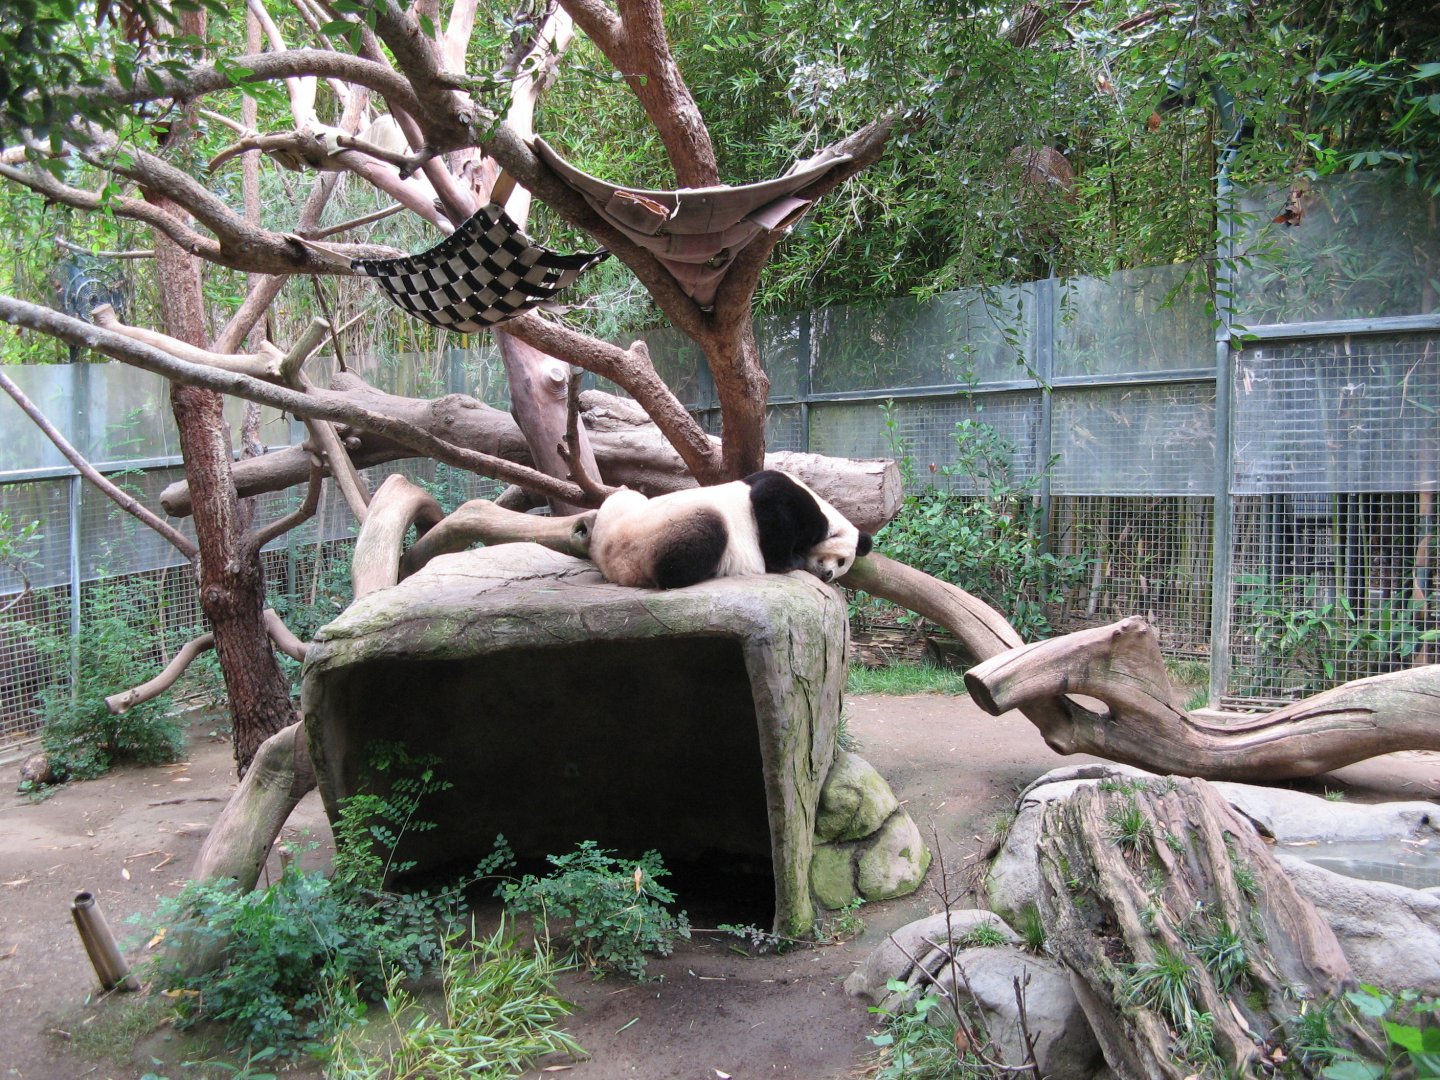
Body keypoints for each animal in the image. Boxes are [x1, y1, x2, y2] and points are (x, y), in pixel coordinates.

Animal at [588, 469, 874, 590]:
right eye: (841, 560)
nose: (827, 575)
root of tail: (611, 561)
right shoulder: (790, 502)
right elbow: (772, 506)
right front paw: (792, 561)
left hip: (620, 509)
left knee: (623, 496)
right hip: (657, 534)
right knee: (703, 534)